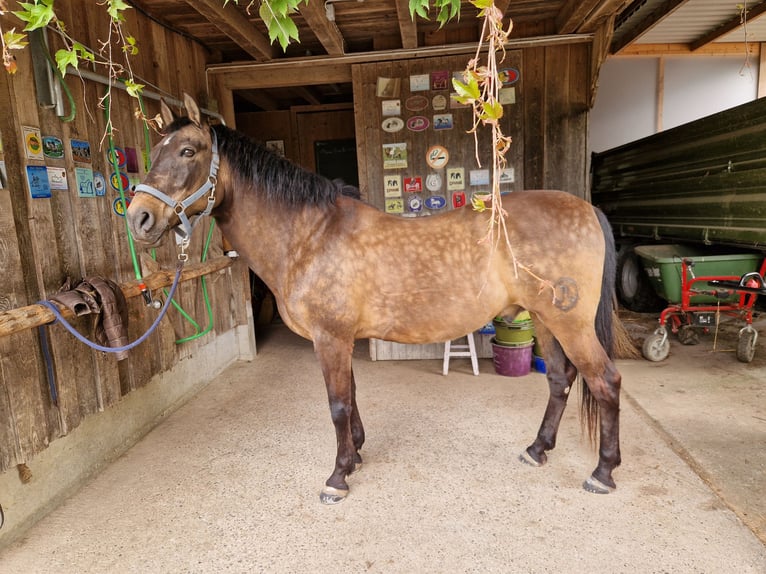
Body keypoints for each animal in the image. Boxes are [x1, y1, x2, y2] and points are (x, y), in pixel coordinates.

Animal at [127, 94, 622, 504]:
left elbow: (337, 404)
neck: (310, 235)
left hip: (570, 324)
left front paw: (337, 477)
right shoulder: (340, 338)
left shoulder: (329, 338)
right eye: (155, 152)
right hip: (544, 320)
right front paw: (357, 455)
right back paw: (537, 449)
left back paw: (602, 472)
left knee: (605, 382)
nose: (139, 219)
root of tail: (585, 209)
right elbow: (352, 395)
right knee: (559, 379)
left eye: (188, 151)